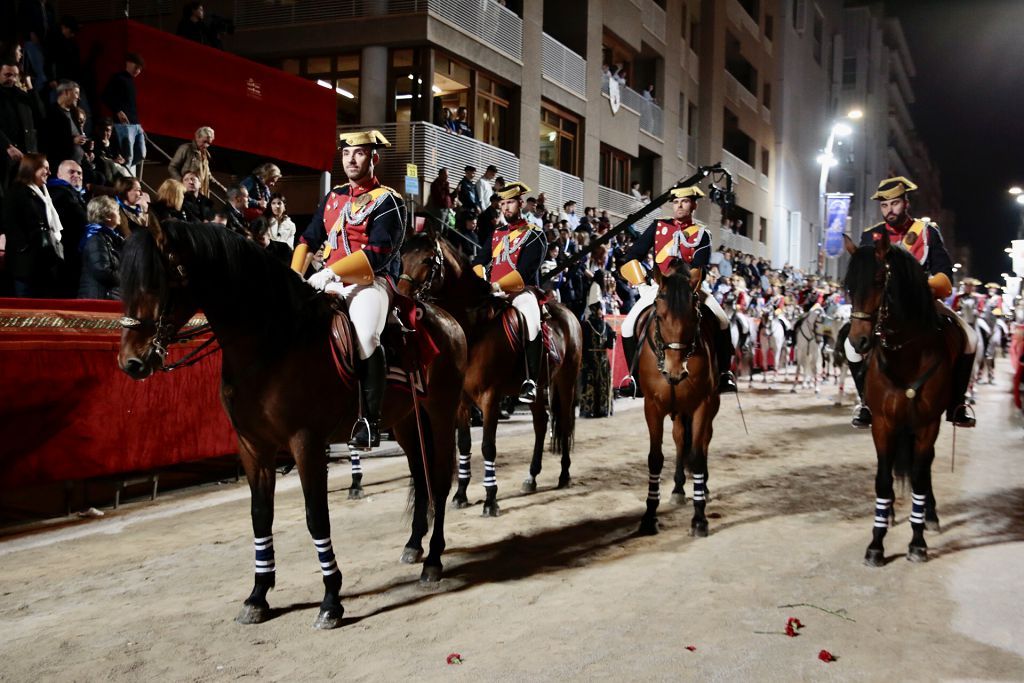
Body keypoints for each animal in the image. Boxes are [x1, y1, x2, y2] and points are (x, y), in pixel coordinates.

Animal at [117, 220, 466, 630]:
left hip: (440, 413)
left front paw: (331, 600)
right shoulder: (253, 446)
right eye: (125, 283)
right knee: (420, 476)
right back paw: (414, 547)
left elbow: (316, 518)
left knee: (439, 481)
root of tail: (446, 320)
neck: (271, 344)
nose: (131, 362)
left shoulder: (306, 443)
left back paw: (433, 561)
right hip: (407, 422)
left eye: (157, 283)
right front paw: (257, 596)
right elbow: (260, 517)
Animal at [395, 232, 581, 516]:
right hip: (539, 387)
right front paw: (461, 493)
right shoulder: (461, 402)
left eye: (427, 259)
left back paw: (564, 474)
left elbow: (487, 446)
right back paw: (532, 476)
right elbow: (464, 445)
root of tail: (568, 312)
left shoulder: (490, 397)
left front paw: (490, 498)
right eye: (403, 257)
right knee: (540, 424)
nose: (401, 298)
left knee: (566, 422)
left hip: (566, 380)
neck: (474, 327)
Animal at [630, 262, 720, 532]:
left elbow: (698, 456)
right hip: (678, 409)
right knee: (680, 439)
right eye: (659, 317)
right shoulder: (653, 406)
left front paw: (699, 518)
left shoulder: (703, 403)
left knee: (703, 440)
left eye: (694, 317)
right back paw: (678, 489)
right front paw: (649, 516)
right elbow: (655, 458)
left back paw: (703, 488)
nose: (675, 372)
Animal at [839, 235, 958, 565]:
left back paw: (929, 515)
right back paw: (891, 512)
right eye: (848, 285)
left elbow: (918, 477)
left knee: (924, 469)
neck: (907, 356)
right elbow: (883, 478)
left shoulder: (927, 425)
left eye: (880, 280)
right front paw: (876, 543)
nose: (858, 342)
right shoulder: (883, 423)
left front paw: (917, 542)